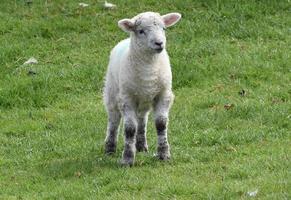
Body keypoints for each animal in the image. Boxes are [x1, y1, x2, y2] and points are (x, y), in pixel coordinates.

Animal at [104, 10, 181, 166]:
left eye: (164, 28)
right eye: (141, 31)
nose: (159, 43)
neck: (149, 68)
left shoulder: (163, 94)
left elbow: (161, 124)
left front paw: (164, 154)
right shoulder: (127, 98)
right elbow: (129, 129)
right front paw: (127, 159)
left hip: (143, 100)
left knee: (141, 120)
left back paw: (141, 146)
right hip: (112, 92)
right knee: (114, 120)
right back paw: (109, 148)